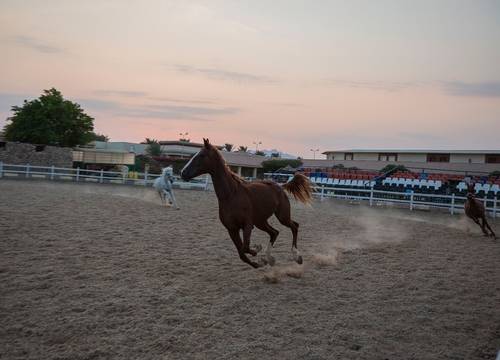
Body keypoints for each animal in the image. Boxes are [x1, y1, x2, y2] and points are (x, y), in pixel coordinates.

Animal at [180, 138, 312, 268]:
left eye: (201, 155)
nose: (183, 172)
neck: (231, 195)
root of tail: (280, 186)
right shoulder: (232, 229)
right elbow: (242, 253)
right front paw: (259, 261)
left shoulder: (247, 225)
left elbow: (245, 247)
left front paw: (257, 250)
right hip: (260, 221)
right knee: (274, 232)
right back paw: (269, 258)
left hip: (282, 216)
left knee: (294, 226)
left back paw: (297, 256)